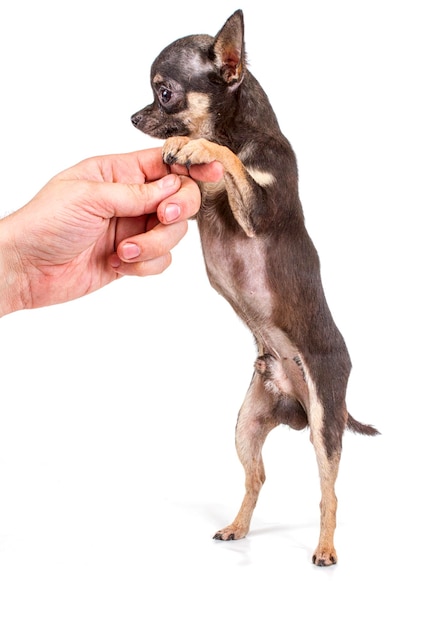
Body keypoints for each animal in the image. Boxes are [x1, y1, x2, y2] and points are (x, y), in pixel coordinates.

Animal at [131, 8, 382, 564]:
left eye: (164, 93)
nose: (134, 118)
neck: (238, 127)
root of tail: (294, 403)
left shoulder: (258, 205)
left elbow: (229, 160)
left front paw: (195, 144)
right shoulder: (200, 203)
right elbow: (206, 181)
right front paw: (176, 153)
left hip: (325, 422)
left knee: (329, 491)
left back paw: (325, 549)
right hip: (247, 424)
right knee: (257, 477)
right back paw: (237, 528)